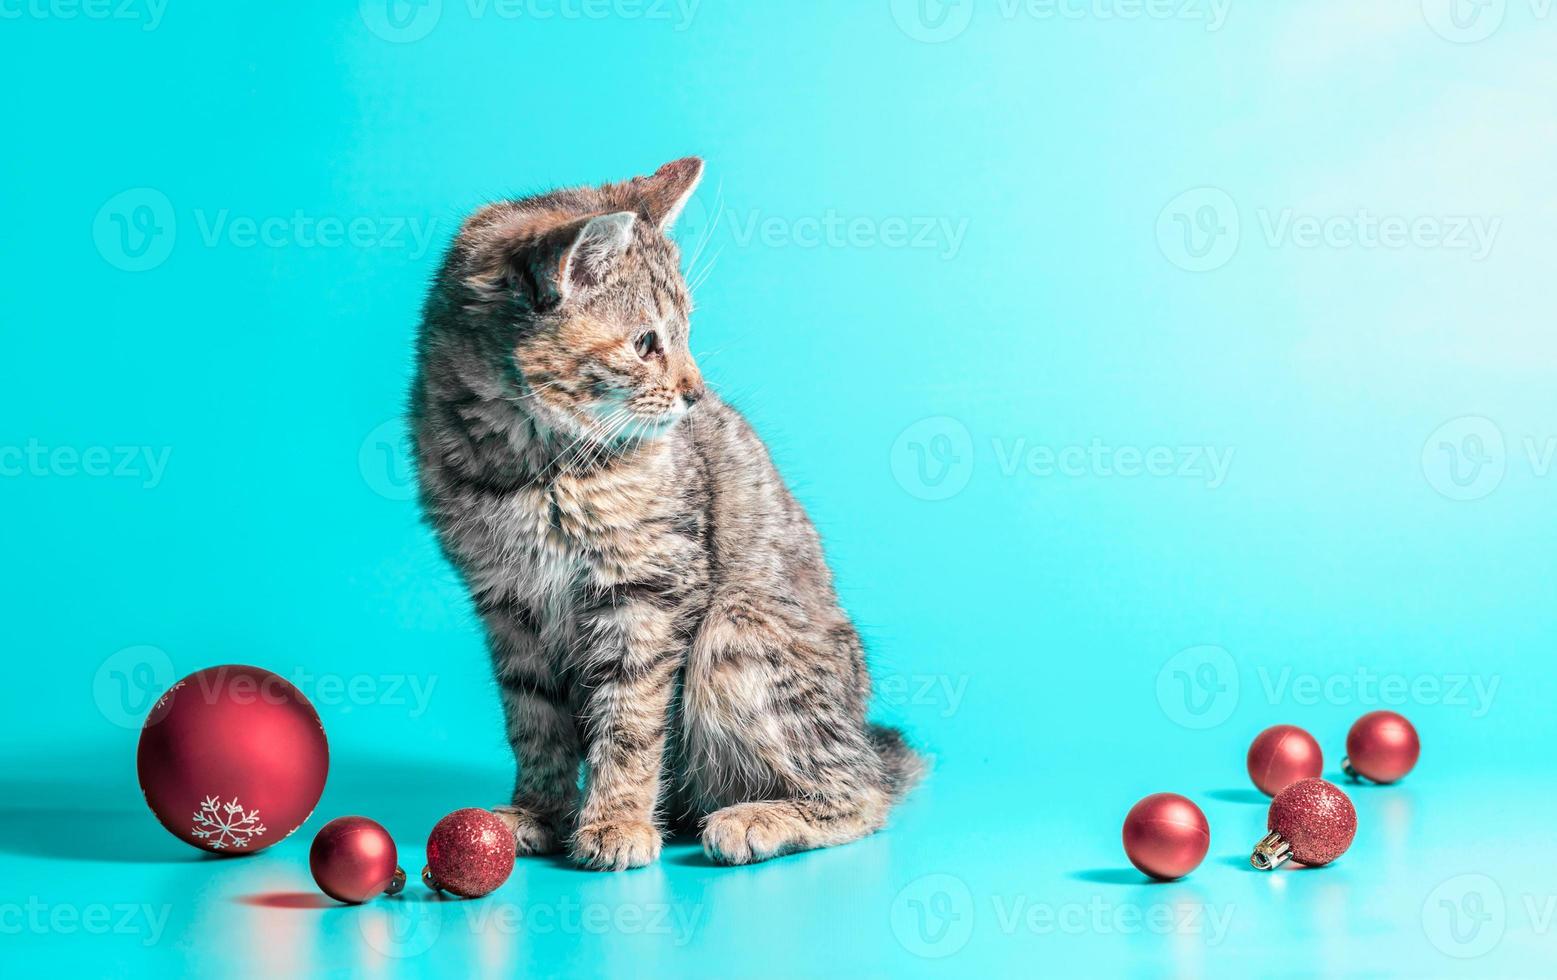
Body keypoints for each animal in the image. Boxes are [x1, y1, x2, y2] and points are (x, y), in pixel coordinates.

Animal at [414, 156, 915, 866]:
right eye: (647, 342)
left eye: (685, 332)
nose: (695, 392)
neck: (537, 464)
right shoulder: (506, 606)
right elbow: (533, 720)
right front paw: (538, 811)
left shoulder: (648, 589)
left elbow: (629, 718)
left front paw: (615, 821)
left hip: (739, 628)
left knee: (862, 793)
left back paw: (758, 818)